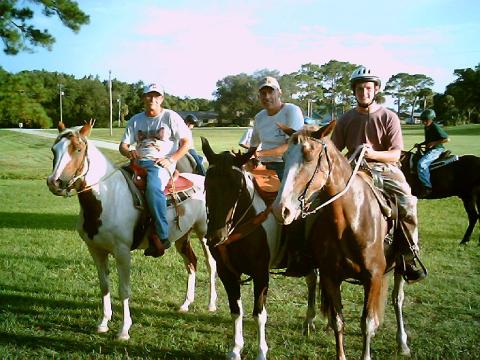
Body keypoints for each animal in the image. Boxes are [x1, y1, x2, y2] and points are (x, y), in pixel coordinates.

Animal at [45, 121, 218, 340]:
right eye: (54, 150)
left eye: (77, 149)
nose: (54, 182)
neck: (107, 198)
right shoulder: (95, 251)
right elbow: (104, 286)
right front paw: (103, 323)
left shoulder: (122, 252)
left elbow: (124, 290)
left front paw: (124, 330)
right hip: (182, 237)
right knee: (191, 263)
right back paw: (185, 304)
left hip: (204, 234)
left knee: (211, 264)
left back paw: (211, 304)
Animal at [201, 137, 320, 360]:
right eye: (206, 184)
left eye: (238, 187)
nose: (216, 237)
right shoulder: (226, 273)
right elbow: (236, 310)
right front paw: (235, 349)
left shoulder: (261, 273)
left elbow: (259, 314)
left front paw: (261, 352)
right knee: (311, 279)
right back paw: (309, 321)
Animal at [274, 122, 412, 360]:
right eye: (284, 156)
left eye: (309, 156)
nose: (281, 209)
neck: (350, 220)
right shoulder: (331, 277)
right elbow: (338, 321)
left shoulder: (373, 277)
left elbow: (367, 323)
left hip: (399, 265)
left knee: (397, 298)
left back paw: (402, 342)